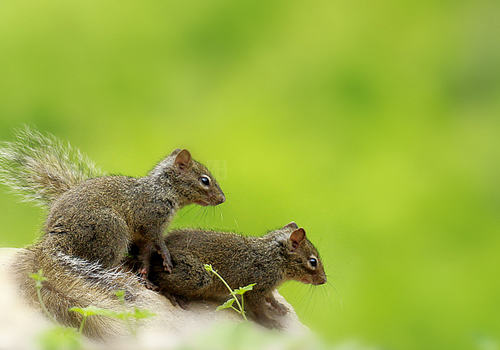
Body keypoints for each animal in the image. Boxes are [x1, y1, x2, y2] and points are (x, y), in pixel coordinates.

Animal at [0, 127, 225, 338]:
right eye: (204, 180)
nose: (222, 199)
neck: (163, 189)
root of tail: (54, 238)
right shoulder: (150, 222)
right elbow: (158, 243)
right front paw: (167, 259)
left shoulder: (142, 238)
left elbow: (145, 255)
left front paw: (146, 276)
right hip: (113, 231)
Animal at [132, 223, 328, 326]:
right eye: (313, 261)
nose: (324, 280)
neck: (274, 258)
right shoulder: (256, 288)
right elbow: (259, 309)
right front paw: (269, 322)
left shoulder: (267, 288)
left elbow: (270, 298)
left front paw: (279, 307)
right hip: (197, 277)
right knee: (157, 278)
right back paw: (173, 295)